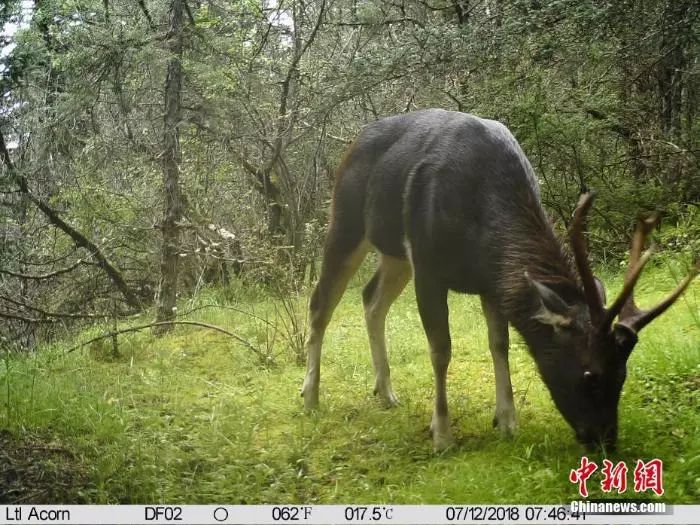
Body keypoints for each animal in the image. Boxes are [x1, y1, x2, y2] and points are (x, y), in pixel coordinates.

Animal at [298, 107, 696, 450]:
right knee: (321, 303)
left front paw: (506, 421)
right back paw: (311, 396)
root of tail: (351, 145)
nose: (604, 441)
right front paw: (442, 434)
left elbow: (499, 343)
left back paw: (385, 393)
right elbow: (441, 349)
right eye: (590, 374)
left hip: (395, 252)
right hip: (347, 221)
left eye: (623, 373)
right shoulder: (428, 264)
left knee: (371, 299)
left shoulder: (491, 281)